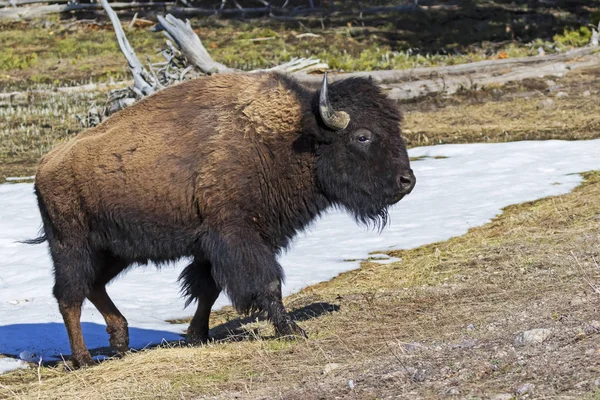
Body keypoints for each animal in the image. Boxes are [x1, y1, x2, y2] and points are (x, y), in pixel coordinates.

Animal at [28, 71, 414, 366]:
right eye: (362, 136)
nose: (406, 181)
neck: (287, 137)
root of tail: (44, 166)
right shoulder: (237, 237)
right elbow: (265, 283)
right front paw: (292, 330)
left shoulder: (213, 247)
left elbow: (208, 289)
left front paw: (197, 336)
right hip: (72, 247)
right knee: (69, 297)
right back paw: (83, 359)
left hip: (116, 252)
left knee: (94, 286)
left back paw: (121, 343)